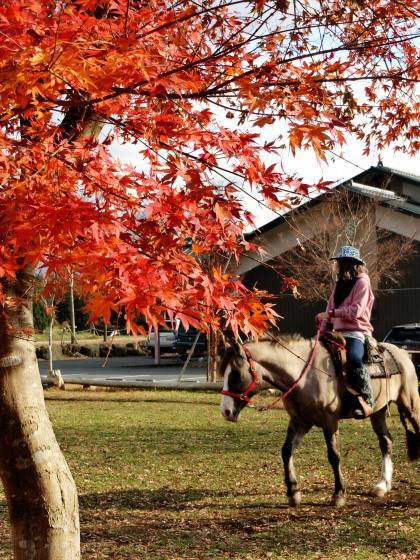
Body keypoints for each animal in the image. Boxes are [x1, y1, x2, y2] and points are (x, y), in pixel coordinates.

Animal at [220, 332, 420, 508]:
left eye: (235, 374)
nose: (225, 411)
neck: (305, 376)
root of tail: (402, 353)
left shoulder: (329, 422)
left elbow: (334, 456)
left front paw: (338, 495)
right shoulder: (300, 422)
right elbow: (286, 451)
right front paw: (293, 492)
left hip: (410, 406)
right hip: (377, 412)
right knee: (386, 442)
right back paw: (382, 485)